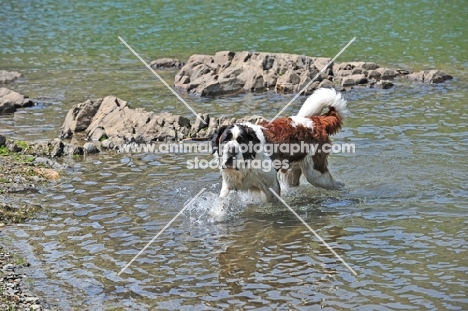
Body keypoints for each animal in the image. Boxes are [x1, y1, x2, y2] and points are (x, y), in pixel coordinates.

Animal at [211, 89, 348, 204]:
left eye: (241, 142)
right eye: (225, 140)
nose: (231, 150)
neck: (248, 162)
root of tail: (316, 120)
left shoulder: (271, 186)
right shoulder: (228, 186)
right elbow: (221, 205)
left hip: (316, 174)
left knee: (336, 184)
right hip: (291, 173)